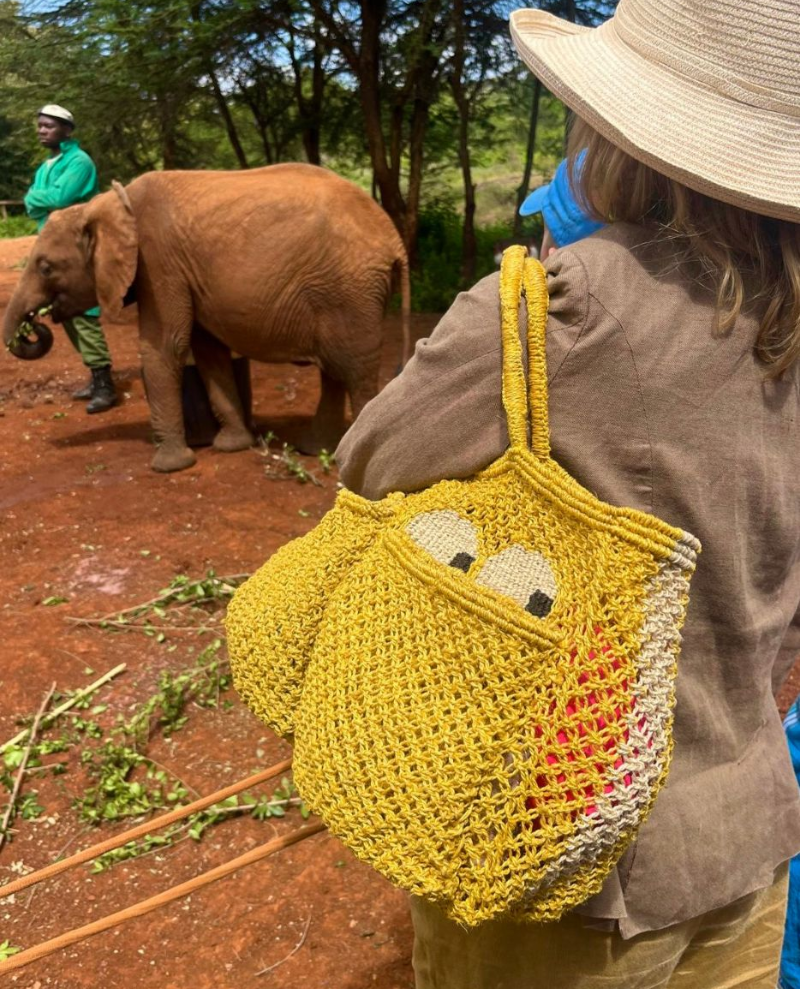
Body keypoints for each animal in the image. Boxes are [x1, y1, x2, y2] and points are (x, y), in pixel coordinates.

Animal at [3, 162, 410, 470]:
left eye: (45, 267)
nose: (34, 325)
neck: (105, 204)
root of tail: (395, 240)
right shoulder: (184, 274)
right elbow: (209, 352)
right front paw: (232, 446)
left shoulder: (158, 263)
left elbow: (164, 346)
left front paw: (169, 466)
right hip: (340, 292)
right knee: (334, 372)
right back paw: (316, 450)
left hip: (352, 290)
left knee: (356, 373)